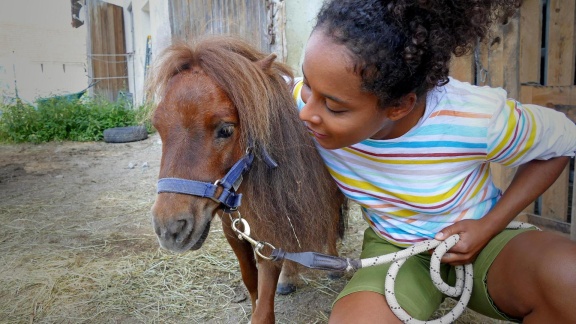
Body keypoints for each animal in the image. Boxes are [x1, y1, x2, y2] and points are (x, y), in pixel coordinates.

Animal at [146, 36, 344, 324]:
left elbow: (263, 306)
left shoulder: (271, 230)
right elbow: (251, 281)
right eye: (159, 127)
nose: (170, 229)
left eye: (226, 129)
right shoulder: (235, 231)